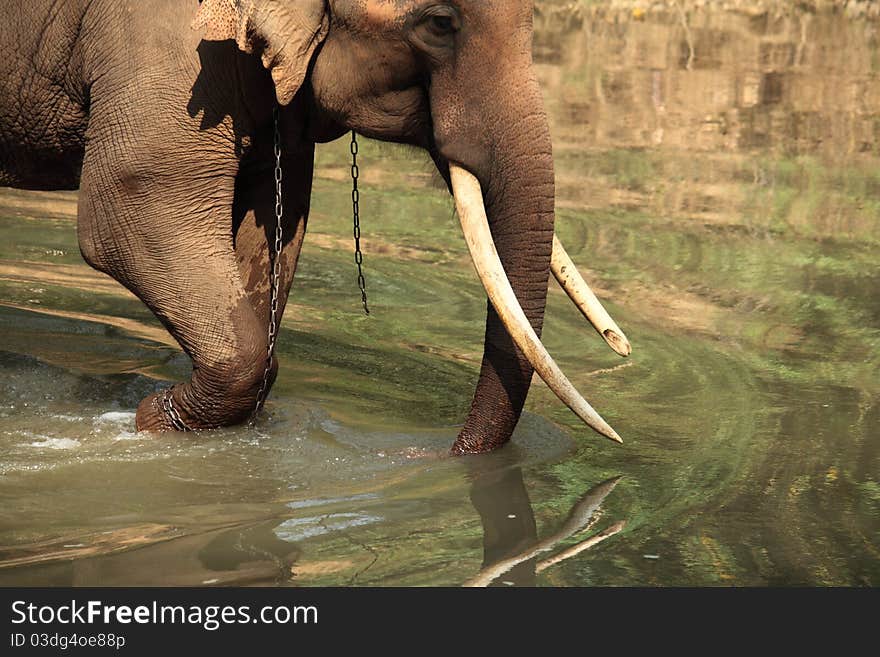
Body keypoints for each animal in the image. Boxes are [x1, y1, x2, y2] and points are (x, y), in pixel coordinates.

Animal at [0, 0, 632, 452]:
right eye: (440, 23)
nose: (444, 452)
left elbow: (267, 234)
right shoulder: (159, 46)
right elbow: (124, 209)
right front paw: (152, 419)